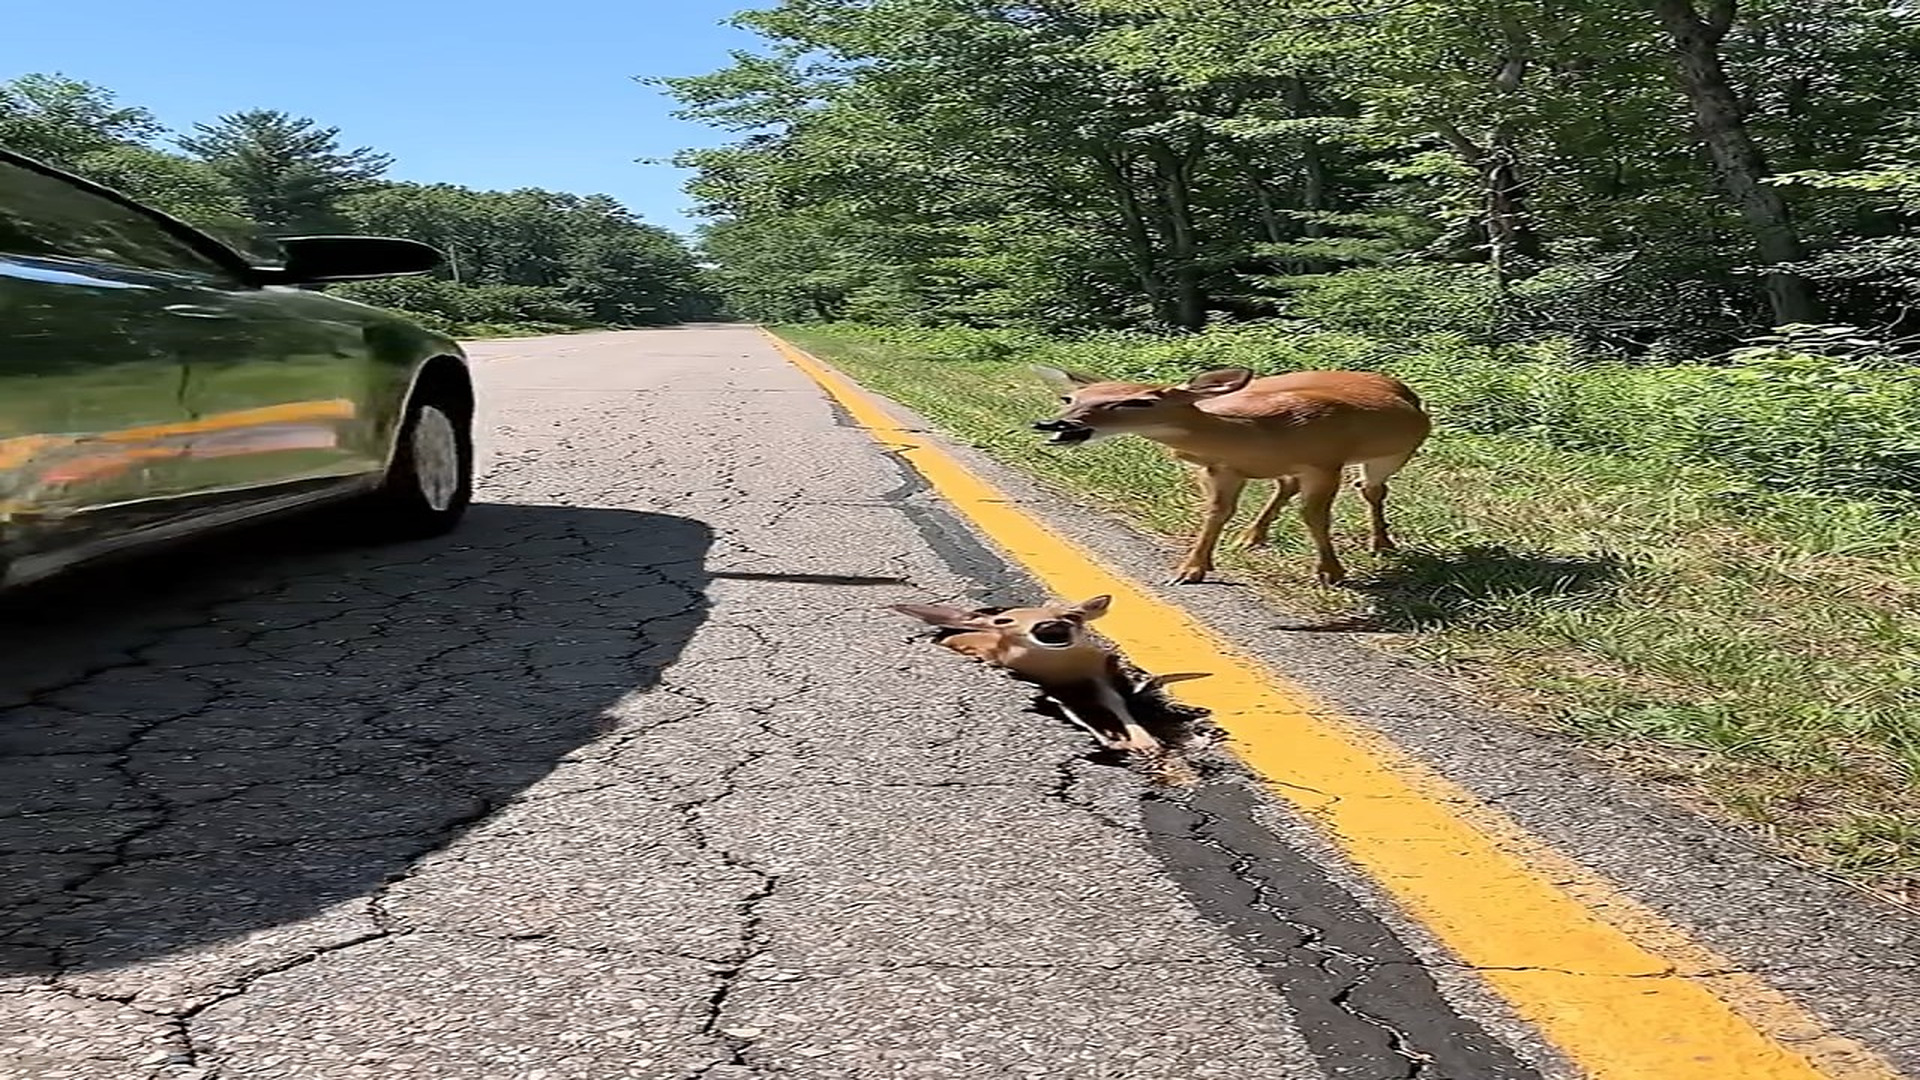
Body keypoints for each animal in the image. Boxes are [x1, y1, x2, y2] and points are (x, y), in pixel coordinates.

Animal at [1030, 365, 1431, 586]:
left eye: (1138, 401)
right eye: (1071, 399)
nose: (1057, 424)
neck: (1251, 433)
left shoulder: (1323, 463)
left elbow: (1314, 517)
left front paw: (1331, 573)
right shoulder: (1222, 470)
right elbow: (1216, 513)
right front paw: (1190, 569)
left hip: (1393, 454)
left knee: (1372, 489)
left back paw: (1381, 543)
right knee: (1287, 486)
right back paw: (1252, 537)